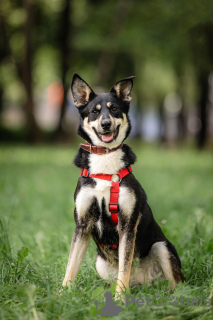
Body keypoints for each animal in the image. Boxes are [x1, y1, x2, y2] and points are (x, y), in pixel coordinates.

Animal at [62, 74, 185, 298]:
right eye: (94, 111)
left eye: (115, 109)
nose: (106, 123)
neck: (105, 158)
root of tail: (142, 283)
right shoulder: (82, 225)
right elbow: (71, 265)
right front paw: (61, 294)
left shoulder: (128, 224)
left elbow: (125, 266)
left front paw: (120, 298)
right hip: (100, 264)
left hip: (161, 246)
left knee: (176, 283)